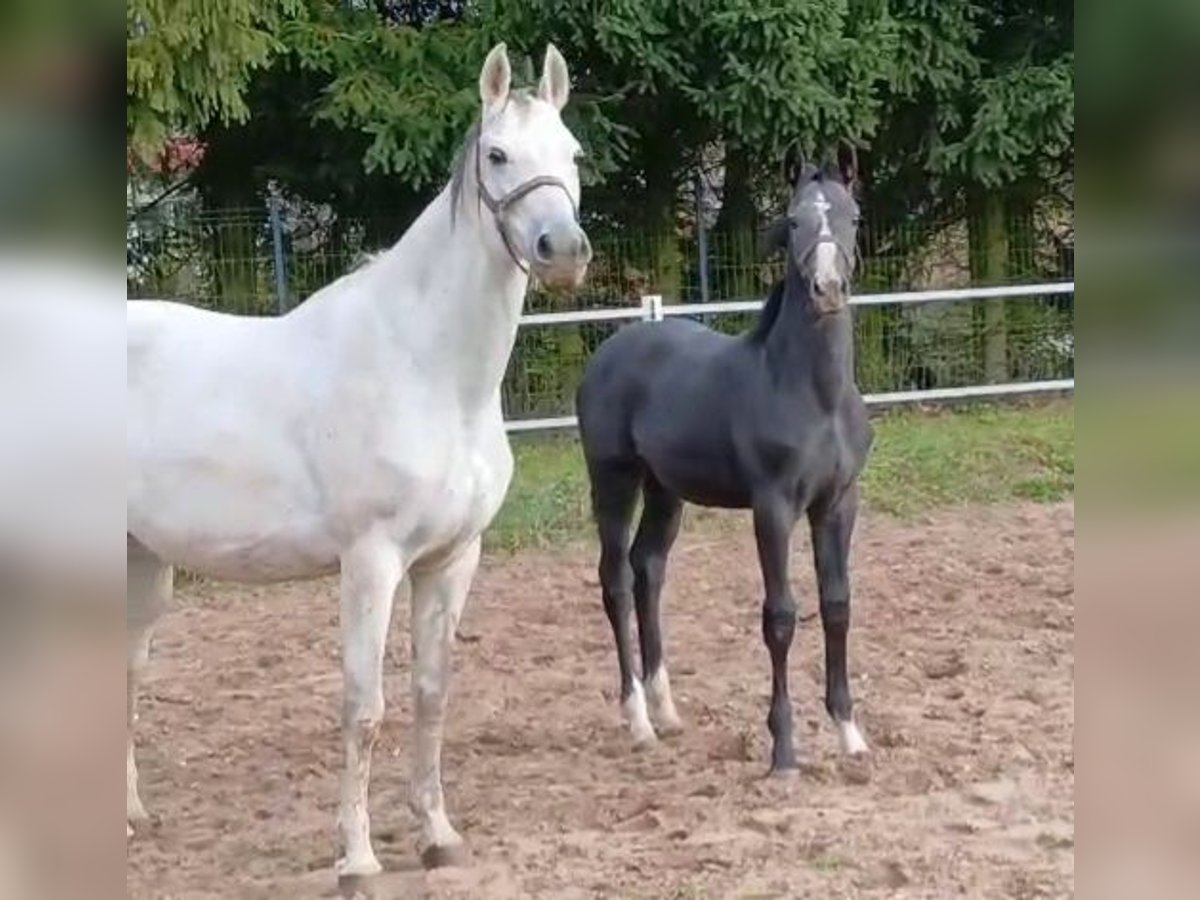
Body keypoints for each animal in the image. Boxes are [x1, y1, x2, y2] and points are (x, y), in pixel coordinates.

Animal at [126, 43, 591, 878]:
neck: (427, 366)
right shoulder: (371, 561)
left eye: (572, 154)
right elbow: (364, 707)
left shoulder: (453, 559)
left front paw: (437, 836)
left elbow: (431, 694)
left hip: (141, 563)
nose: (562, 253)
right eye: (497, 155)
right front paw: (357, 860)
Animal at [575, 147, 871, 774]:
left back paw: (666, 709)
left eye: (853, 217)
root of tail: (609, 351)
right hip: (614, 481)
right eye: (793, 222)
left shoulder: (838, 503)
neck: (815, 394)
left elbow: (837, 605)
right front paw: (784, 752)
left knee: (648, 568)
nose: (827, 288)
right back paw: (638, 720)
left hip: (665, 490)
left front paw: (849, 734)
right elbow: (780, 617)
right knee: (615, 578)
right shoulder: (773, 507)